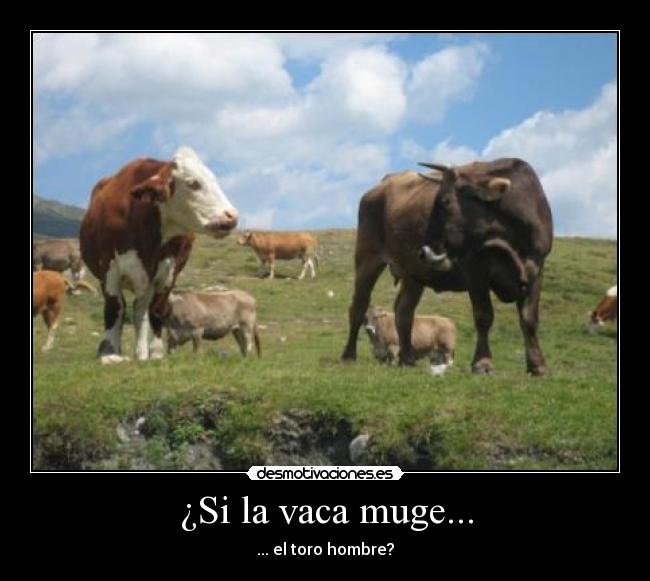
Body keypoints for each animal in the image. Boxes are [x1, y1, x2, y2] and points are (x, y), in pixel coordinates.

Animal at [79, 146, 239, 363]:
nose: (232, 216)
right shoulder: (109, 268)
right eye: (193, 183)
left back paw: (141, 353)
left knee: (140, 311)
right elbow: (114, 308)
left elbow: (156, 310)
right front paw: (109, 352)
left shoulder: (168, 272)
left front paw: (154, 352)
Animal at [342, 158, 553, 376]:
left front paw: (537, 365)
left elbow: (529, 319)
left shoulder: (536, 269)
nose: (424, 251)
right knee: (358, 306)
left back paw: (407, 358)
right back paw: (349, 355)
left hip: (413, 275)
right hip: (367, 259)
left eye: (445, 202)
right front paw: (483, 363)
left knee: (404, 312)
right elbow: (484, 316)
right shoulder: (475, 270)